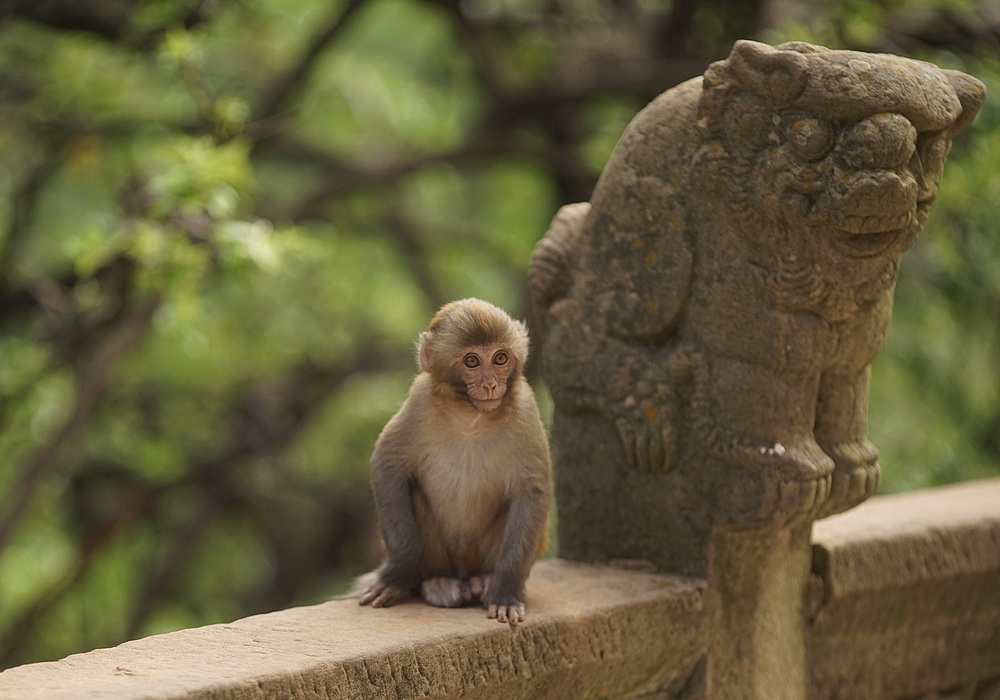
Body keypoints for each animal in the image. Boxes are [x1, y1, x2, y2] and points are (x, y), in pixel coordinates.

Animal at [358, 298, 552, 628]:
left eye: (500, 358)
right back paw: (439, 584)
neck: (472, 417)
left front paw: (505, 592)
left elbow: (532, 490)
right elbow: (388, 465)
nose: (490, 385)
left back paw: (484, 582)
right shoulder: (420, 400)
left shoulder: (525, 407)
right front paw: (396, 575)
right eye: (472, 362)